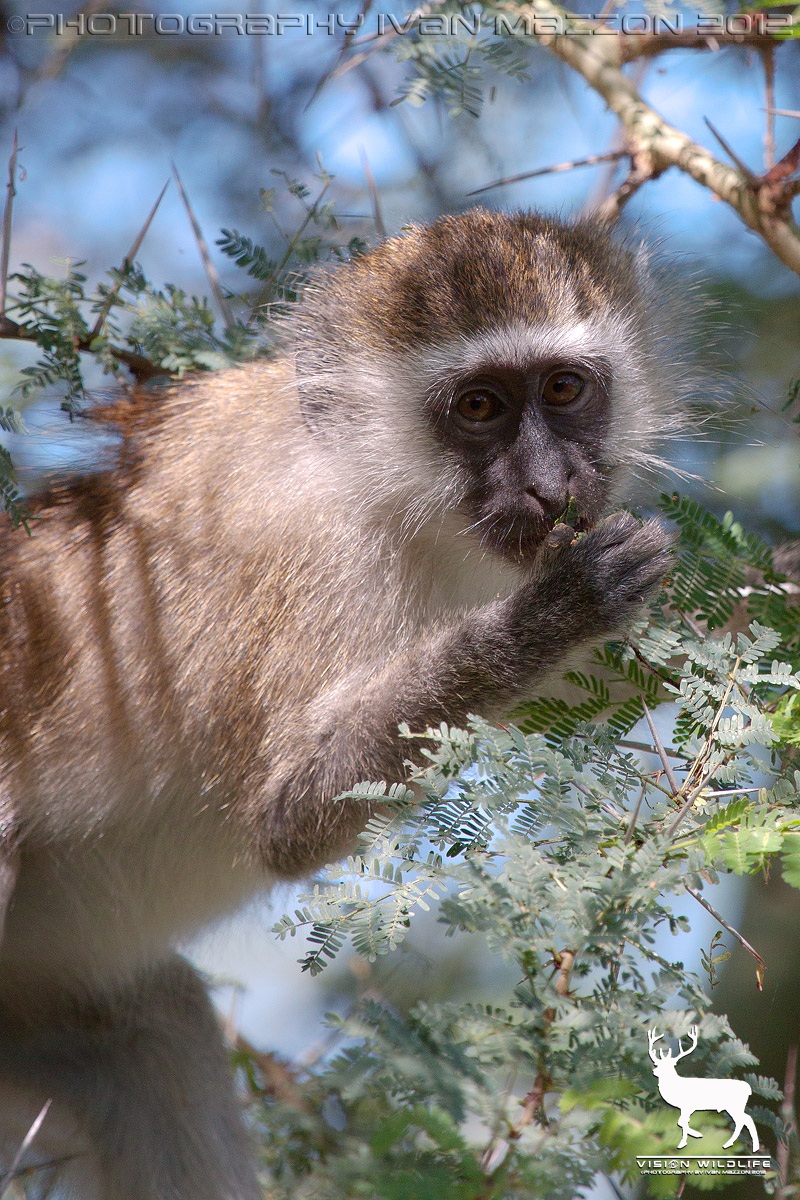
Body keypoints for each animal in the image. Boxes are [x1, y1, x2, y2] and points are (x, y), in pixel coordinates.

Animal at [0, 209, 683, 1199]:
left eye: (563, 389)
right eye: (478, 407)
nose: (553, 485)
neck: (384, 491)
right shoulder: (316, 561)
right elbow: (288, 818)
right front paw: (558, 611)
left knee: (160, 1032)